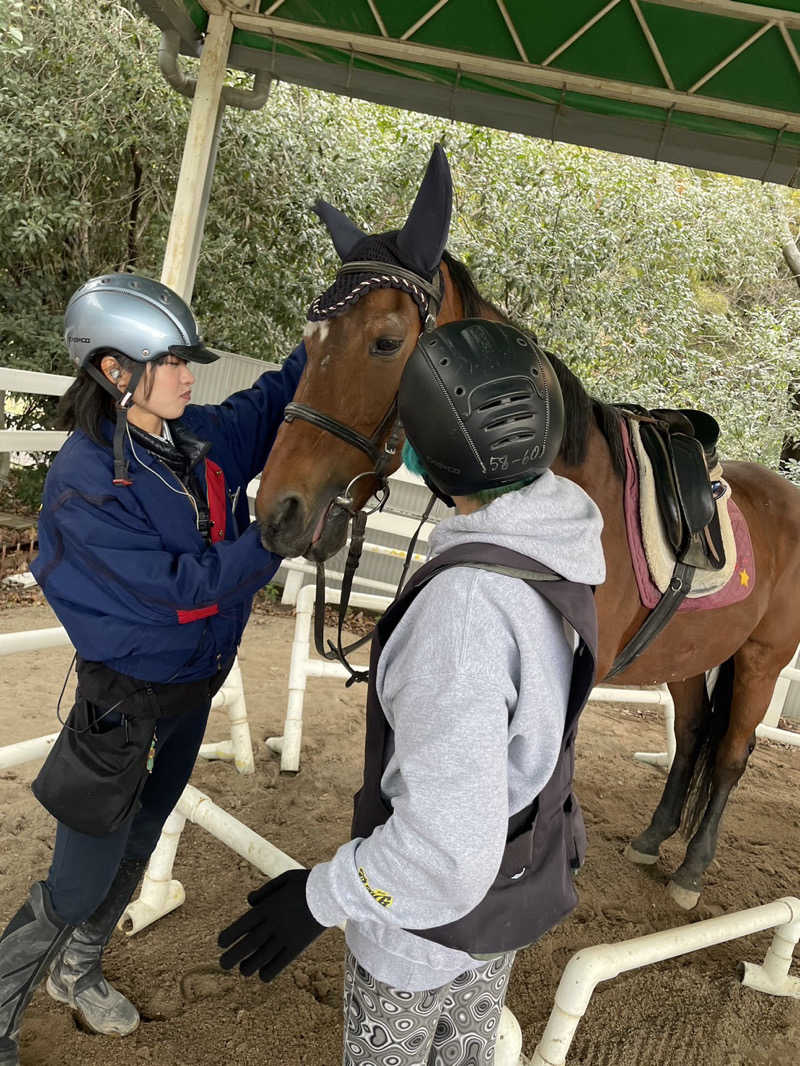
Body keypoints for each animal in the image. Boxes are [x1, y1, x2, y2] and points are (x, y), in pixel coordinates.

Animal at [257, 143, 800, 908]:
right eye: (311, 339)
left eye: (386, 342)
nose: (279, 511)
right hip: (695, 654)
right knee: (694, 733)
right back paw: (653, 839)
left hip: (761, 658)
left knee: (728, 755)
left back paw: (692, 870)